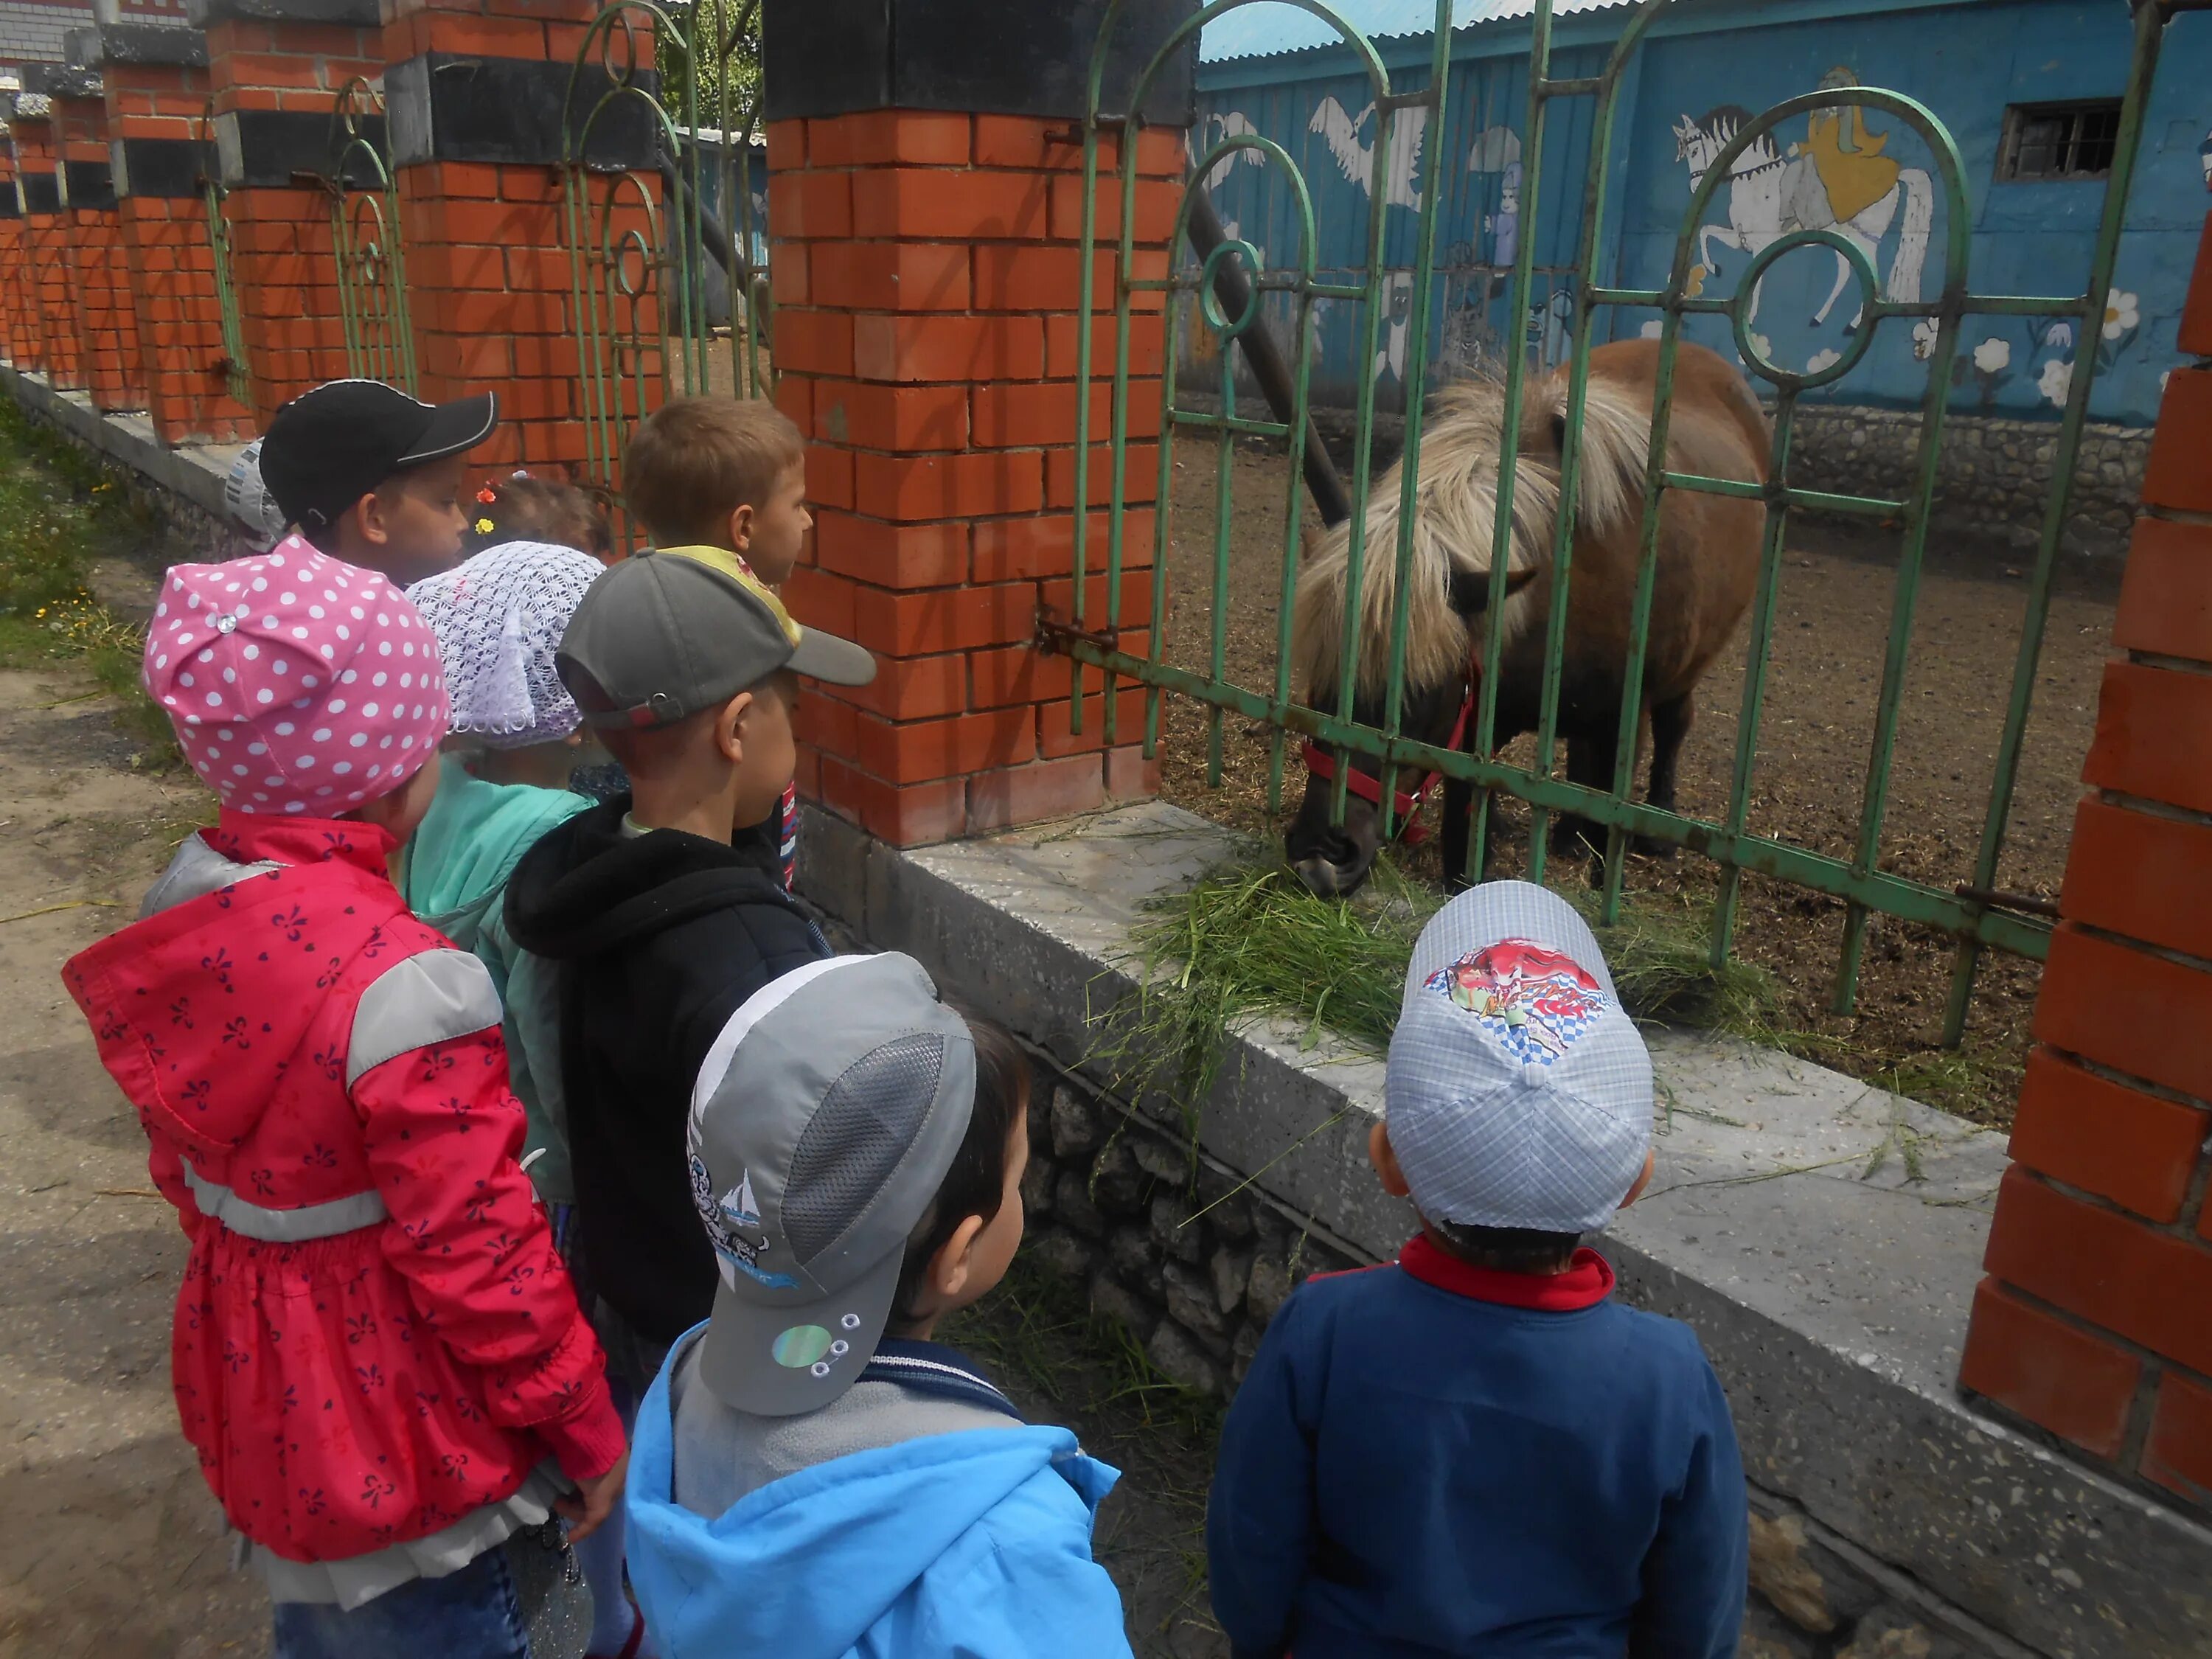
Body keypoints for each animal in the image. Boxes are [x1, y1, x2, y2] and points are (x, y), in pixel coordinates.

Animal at [1283, 336, 1761, 898]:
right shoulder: (1473, 733)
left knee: (1674, 725)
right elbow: (1464, 837)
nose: (1319, 859)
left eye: (1417, 695)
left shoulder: (1622, 725)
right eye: (1320, 683)